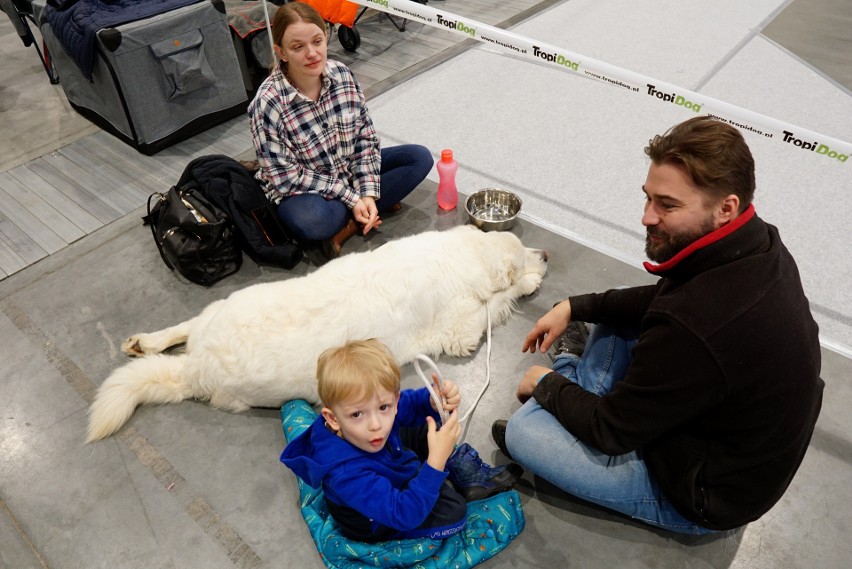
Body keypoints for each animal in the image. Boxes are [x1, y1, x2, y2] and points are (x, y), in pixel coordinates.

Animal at [85, 224, 544, 442]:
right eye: (524, 252)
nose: (543, 253)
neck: (460, 256)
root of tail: (197, 365)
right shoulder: (460, 329)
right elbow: (498, 302)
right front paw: (530, 280)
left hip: (221, 308)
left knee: (183, 327)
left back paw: (143, 342)